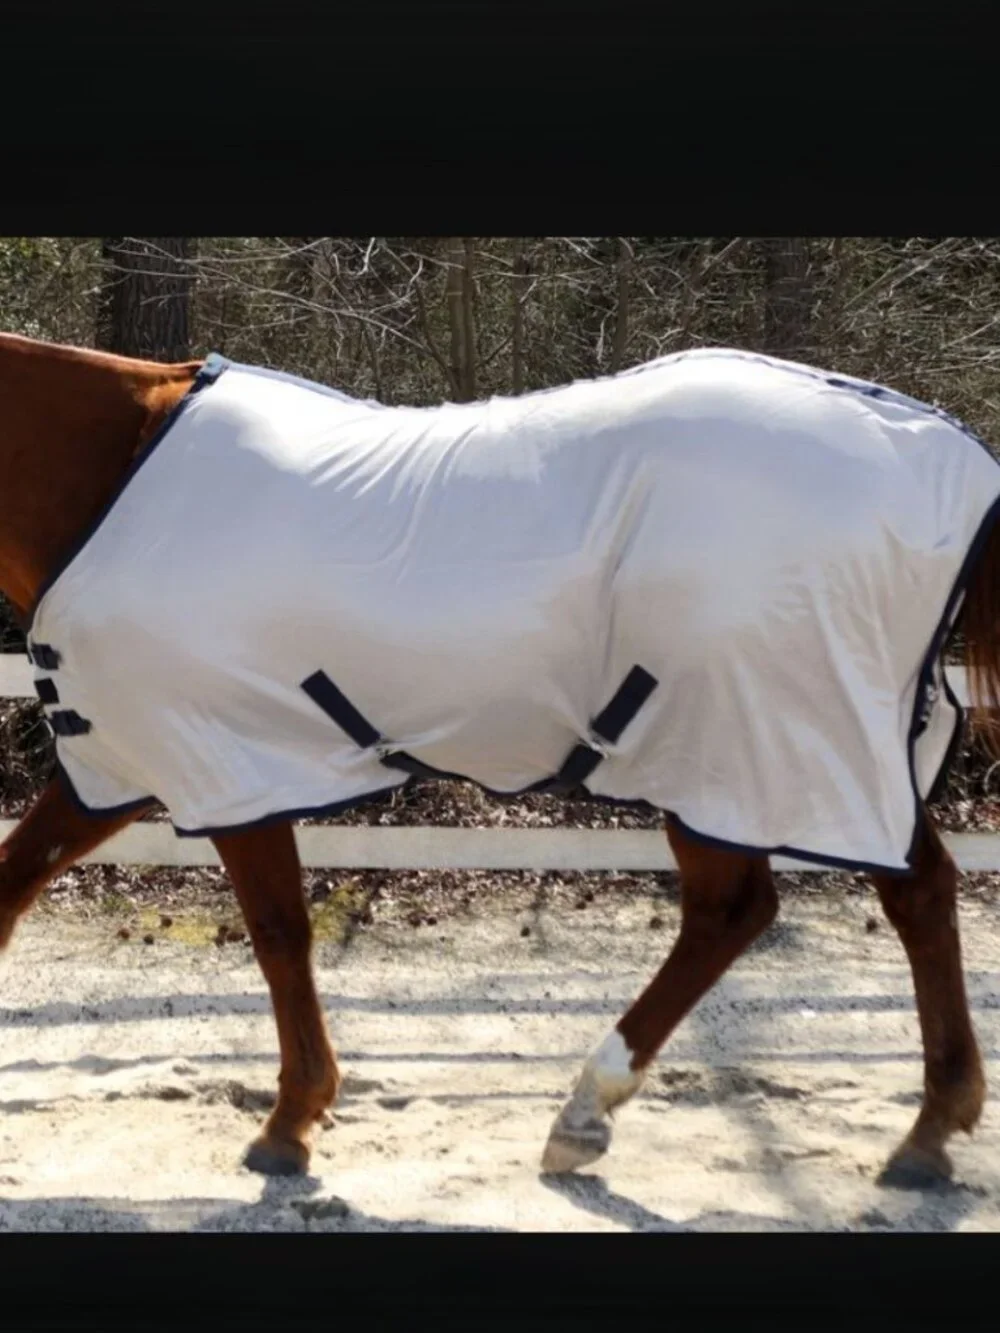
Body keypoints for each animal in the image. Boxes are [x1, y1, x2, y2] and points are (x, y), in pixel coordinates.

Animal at [0, 328, 998, 1189]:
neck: (110, 478)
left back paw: (588, 1111)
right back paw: (927, 1129)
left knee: (740, 908)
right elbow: (17, 883)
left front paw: (290, 1123)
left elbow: (280, 935)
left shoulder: (229, 765)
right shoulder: (115, 766)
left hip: (738, 749)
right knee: (903, 892)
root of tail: (955, 459)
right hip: (815, 754)